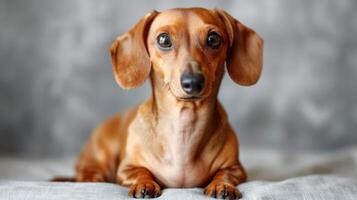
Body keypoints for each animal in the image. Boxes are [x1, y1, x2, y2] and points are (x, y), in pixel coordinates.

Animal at [59, 7, 262, 199]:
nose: (193, 82)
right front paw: (144, 184)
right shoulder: (126, 169)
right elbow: (140, 172)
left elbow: (225, 174)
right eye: (164, 40)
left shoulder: (236, 168)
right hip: (102, 155)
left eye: (214, 39)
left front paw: (222, 185)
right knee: (88, 172)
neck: (184, 129)